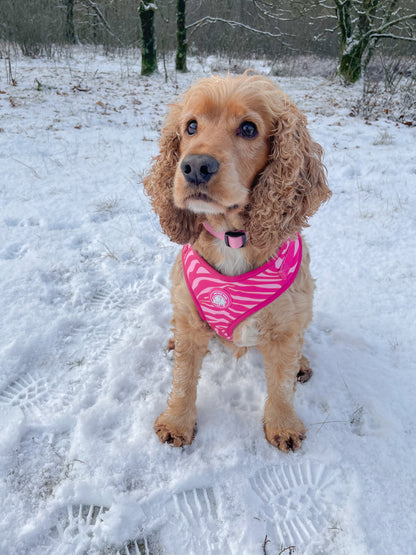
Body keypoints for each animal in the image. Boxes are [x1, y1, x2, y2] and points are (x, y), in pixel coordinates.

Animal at [144, 71, 332, 452]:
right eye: (190, 126)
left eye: (248, 128)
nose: (195, 166)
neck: (232, 236)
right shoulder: (190, 316)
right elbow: (183, 378)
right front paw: (176, 423)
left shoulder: (286, 327)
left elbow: (281, 385)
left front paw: (283, 426)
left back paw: (303, 364)